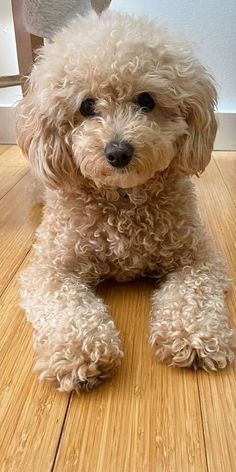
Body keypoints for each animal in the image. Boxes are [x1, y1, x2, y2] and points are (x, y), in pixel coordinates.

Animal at [15, 12, 235, 394]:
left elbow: (191, 294)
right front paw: (78, 352)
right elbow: (68, 307)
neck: (121, 201)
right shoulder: (51, 269)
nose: (118, 152)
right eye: (86, 106)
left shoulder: (198, 259)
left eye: (146, 100)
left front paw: (192, 336)